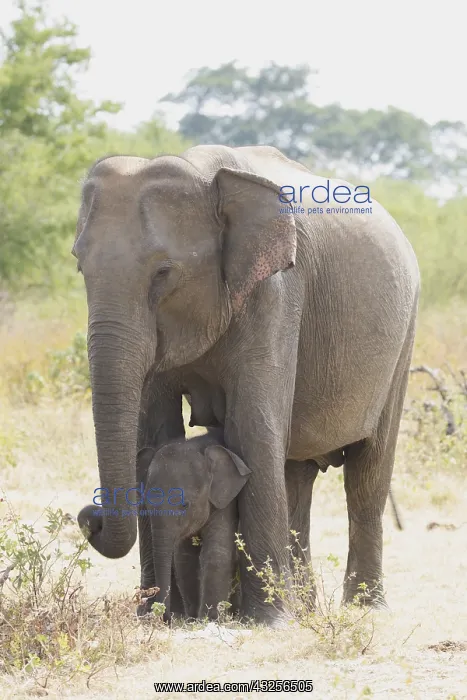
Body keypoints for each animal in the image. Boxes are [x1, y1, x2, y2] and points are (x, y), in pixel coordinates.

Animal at [135, 428, 250, 620]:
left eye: (185, 505)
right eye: (147, 506)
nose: (166, 618)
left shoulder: (226, 502)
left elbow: (216, 553)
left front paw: (208, 619)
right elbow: (184, 558)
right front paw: (193, 619)